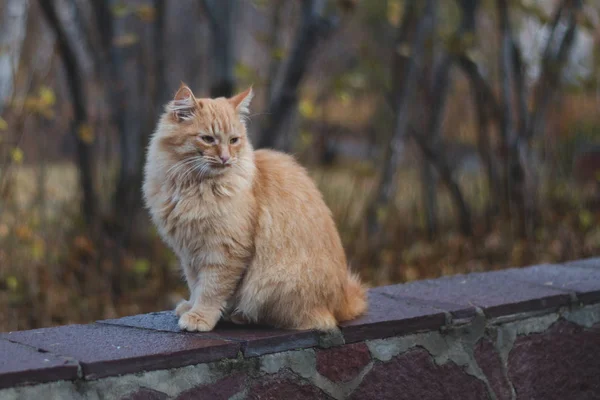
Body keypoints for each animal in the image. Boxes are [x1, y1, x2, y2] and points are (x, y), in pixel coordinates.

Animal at [142, 83, 366, 332]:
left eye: (233, 140)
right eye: (208, 139)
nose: (225, 158)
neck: (191, 186)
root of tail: (343, 302)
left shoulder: (225, 250)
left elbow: (211, 289)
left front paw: (200, 317)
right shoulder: (189, 252)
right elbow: (195, 284)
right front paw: (191, 306)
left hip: (275, 283)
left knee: (305, 320)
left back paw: (239, 316)